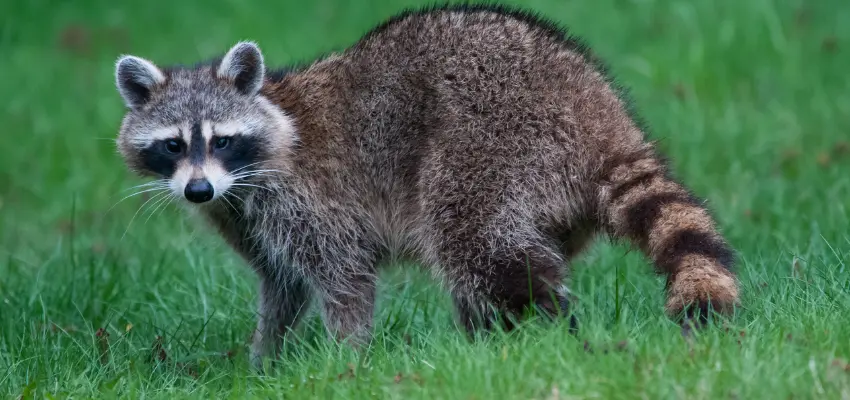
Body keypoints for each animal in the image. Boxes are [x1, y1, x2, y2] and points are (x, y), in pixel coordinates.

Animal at [111, 4, 736, 368]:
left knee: (478, 246)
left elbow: (345, 278)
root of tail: (595, 109)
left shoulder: (309, 199)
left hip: (494, 141)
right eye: (172, 145)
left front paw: (346, 363)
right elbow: (281, 286)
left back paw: (542, 334)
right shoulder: (247, 216)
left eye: (221, 140)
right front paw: (264, 358)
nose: (197, 193)